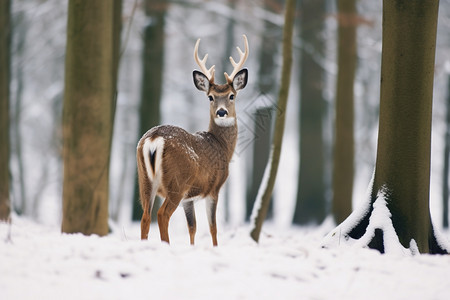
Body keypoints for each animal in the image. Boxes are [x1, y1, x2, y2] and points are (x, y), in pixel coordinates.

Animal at [137, 35, 250, 246]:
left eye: (232, 95)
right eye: (210, 97)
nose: (221, 112)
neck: (223, 146)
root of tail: (154, 139)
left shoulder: (188, 199)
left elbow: (193, 227)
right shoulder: (214, 188)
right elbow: (213, 227)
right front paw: (215, 247)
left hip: (144, 179)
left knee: (145, 216)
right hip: (177, 181)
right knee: (162, 214)